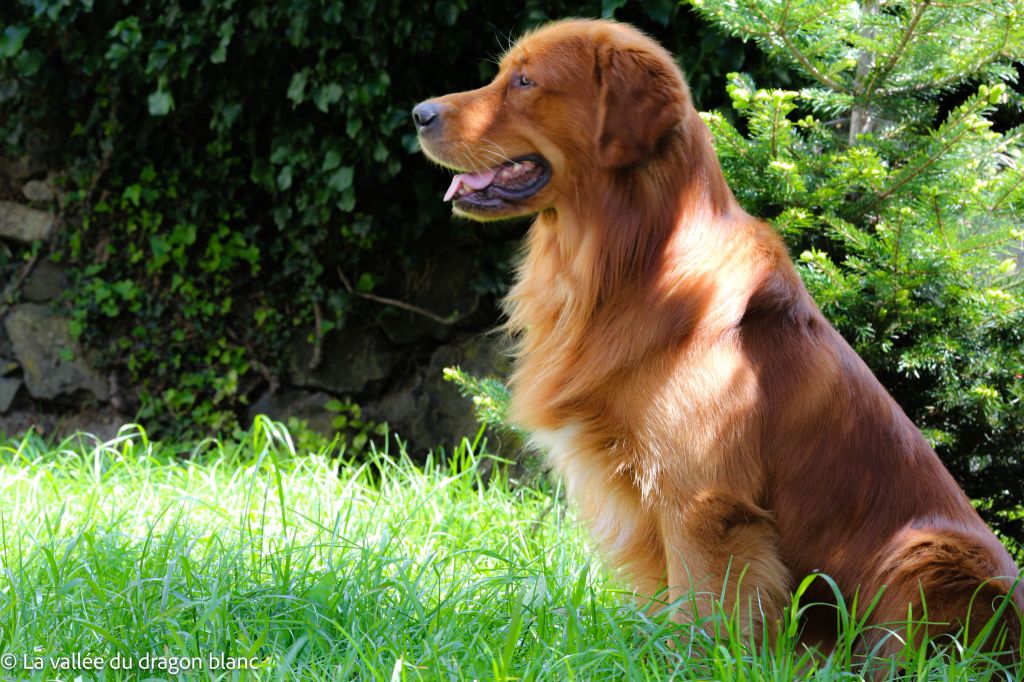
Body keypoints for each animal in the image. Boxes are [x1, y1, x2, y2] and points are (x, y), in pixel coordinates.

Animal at [409, 15, 1024, 655]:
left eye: (526, 81)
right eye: (503, 73)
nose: (418, 113)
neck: (632, 264)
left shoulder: (702, 499)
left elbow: (702, 611)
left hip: (926, 553)